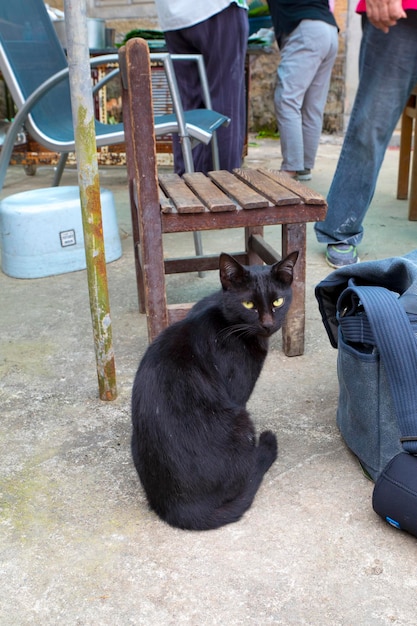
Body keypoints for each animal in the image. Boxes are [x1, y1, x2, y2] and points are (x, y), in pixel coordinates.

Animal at [132, 249, 298, 528]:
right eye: (249, 305)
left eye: (278, 301)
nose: (267, 324)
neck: (225, 317)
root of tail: (180, 508)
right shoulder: (238, 392)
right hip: (241, 420)